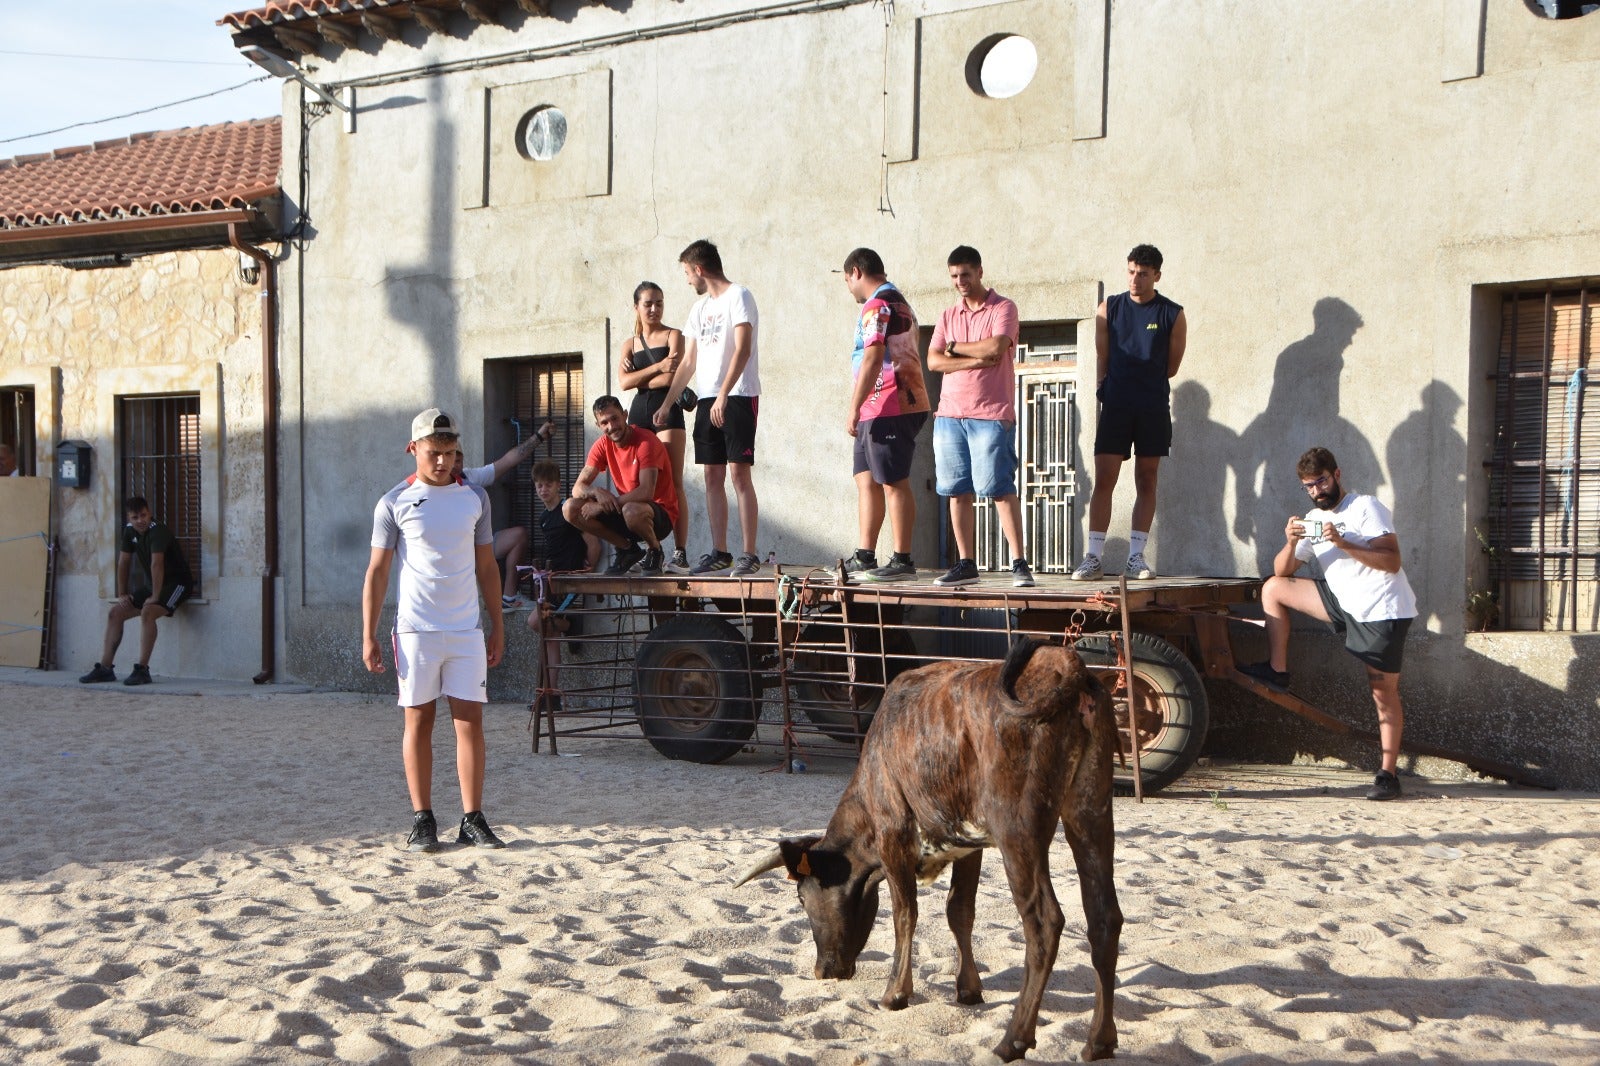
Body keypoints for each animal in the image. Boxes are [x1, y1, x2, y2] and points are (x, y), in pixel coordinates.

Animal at [739, 633, 1126, 1056]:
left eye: (802, 898)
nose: (822, 970)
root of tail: (1066, 666)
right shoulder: (969, 844)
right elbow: (959, 911)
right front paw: (968, 988)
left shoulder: (892, 835)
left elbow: (904, 914)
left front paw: (895, 993)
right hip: (1090, 813)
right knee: (1105, 918)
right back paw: (1099, 1041)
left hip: (1018, 832)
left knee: (1043, 922)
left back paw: (1014, 1038)